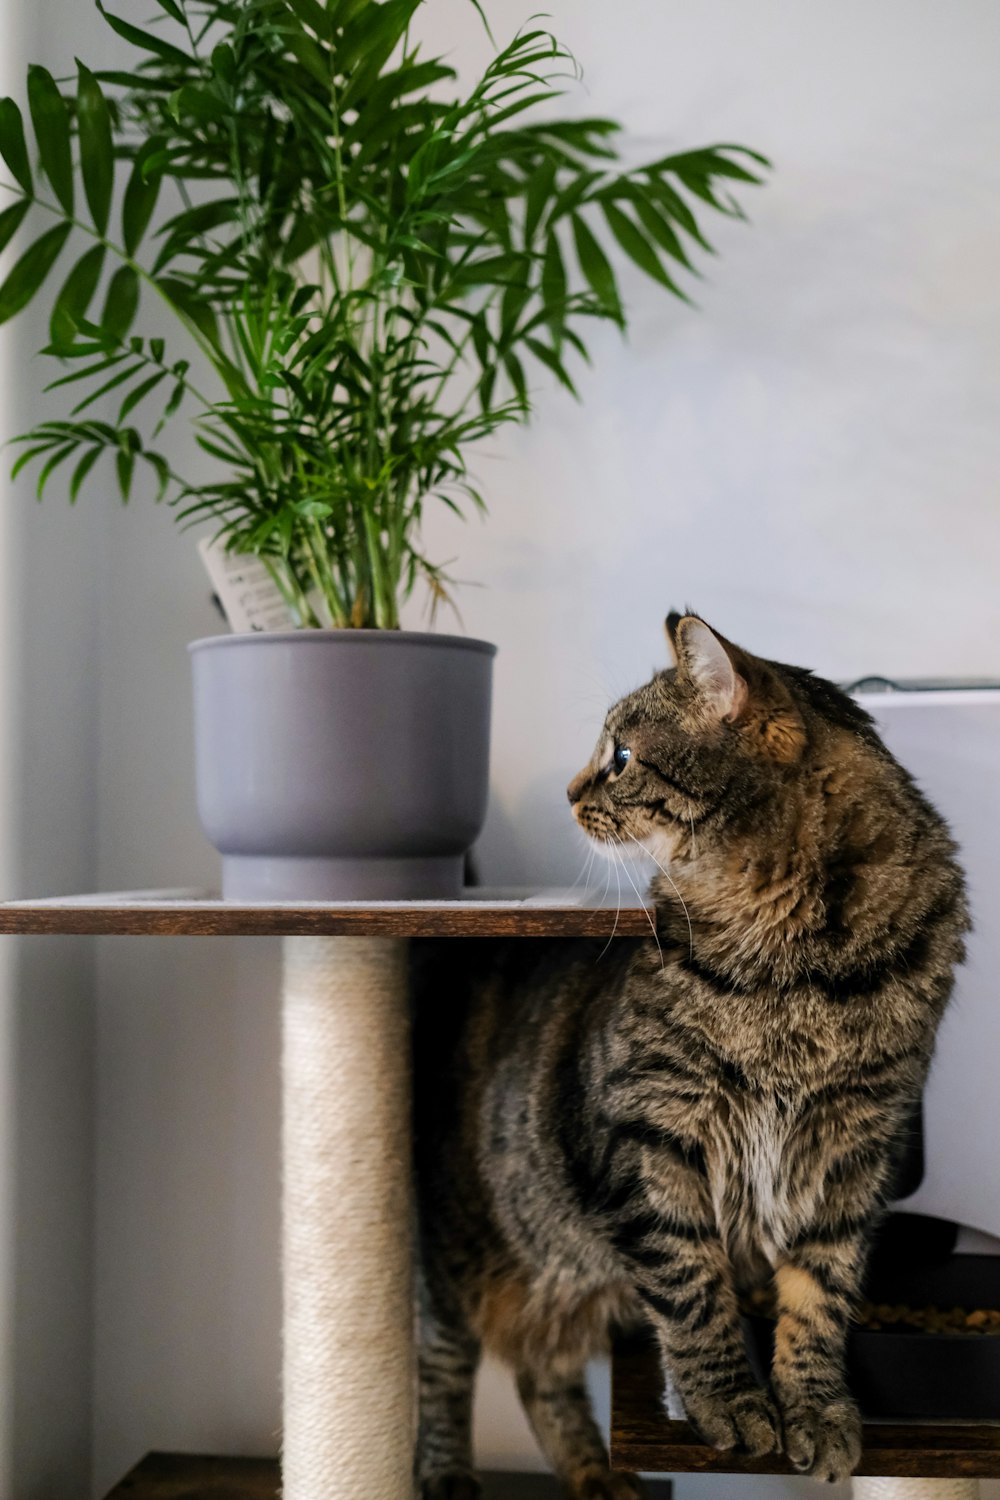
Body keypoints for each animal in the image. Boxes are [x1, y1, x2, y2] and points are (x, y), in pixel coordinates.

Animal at [410, 615, 965, 1494]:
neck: (797, 958)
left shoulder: (855, 1149)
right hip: (454, 1246)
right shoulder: (649, 1135)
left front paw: (816, 1406)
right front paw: (730, 1402)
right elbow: (690, 1282)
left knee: (541, 1370)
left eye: (621, 756)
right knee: (440, 1361)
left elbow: (822, 1288)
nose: (570, 792)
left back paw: (601, 1476)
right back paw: (447, 1475)